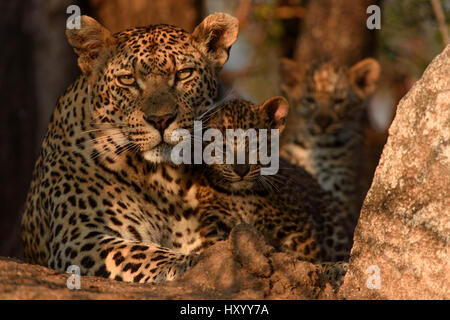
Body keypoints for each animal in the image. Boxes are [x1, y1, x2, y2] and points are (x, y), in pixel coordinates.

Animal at [21, 13, 239, 282]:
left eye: (184, 74)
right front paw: (185, 263)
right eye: (127, 80)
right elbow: (141, 252)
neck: (165, 180)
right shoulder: (79, 236)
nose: (161, 119)